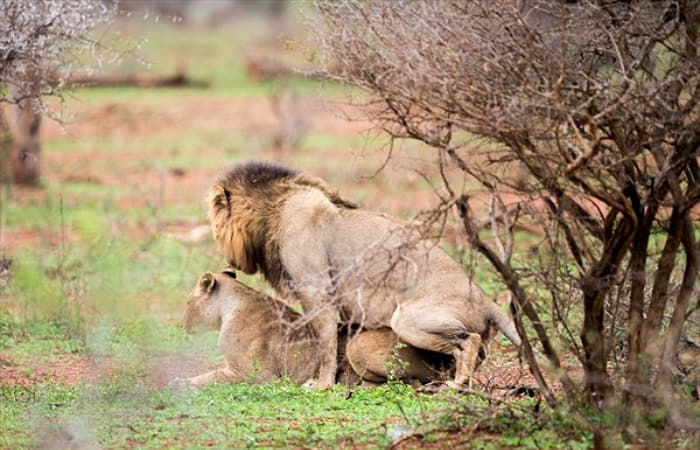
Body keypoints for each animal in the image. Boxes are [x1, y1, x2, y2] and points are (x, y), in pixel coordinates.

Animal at [180, 270, 452, 386]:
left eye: (187, 303)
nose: (180, 325)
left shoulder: (257, 374)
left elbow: (209, 378)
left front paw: (180, 382)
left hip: (358, 345)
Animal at [208, 161, 520, 386]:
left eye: (216, 224)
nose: (226, 257)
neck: (276, 208)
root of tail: (484, 298)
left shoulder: (316, 290)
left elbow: (325, 343)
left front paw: (322, 384)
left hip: (408, 321)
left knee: (470, 340)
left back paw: (457, 384)